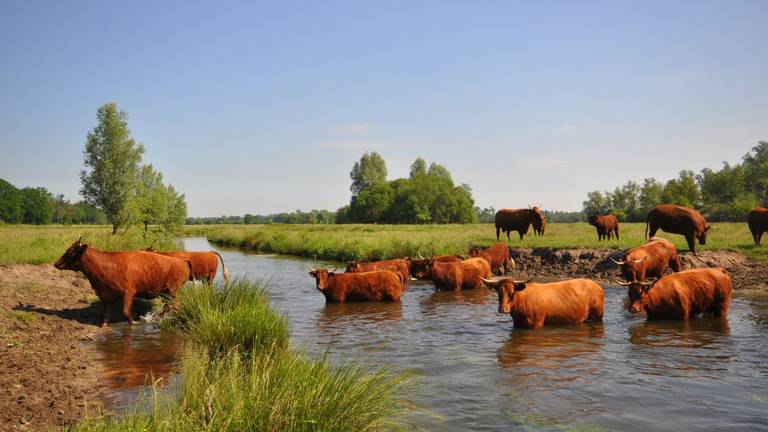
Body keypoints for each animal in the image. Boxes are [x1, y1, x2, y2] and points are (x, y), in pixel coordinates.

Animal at [54, 238, 192, 326]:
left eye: (71, 252)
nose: (55, 263)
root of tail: (182, 261)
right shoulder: (106, 294)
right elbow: (106, 311)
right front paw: (104, 324)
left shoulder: (129, 292)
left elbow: (126, 311)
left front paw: (133, 322)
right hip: (166, 292)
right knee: (169, 305)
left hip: (173, 290)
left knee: (173, 305)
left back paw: (155, 317)